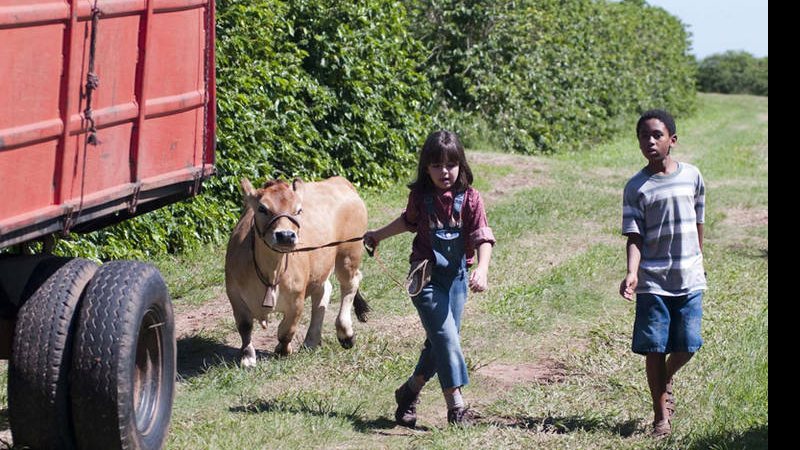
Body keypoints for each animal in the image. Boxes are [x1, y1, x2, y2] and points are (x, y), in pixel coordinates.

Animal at [223, 176, 370, 366]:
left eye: (298, 210)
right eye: (262, 208)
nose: (285, 235)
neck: (271, 271)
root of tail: (338, 180)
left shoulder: (297, 299)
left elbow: (286, 330)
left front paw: (283, 350)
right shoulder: (234, 295)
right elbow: (245, 326)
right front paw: (247, 356)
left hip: (349, 253)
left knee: (351, 283)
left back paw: (345, 333)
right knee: (324, 290)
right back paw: (311, 341)